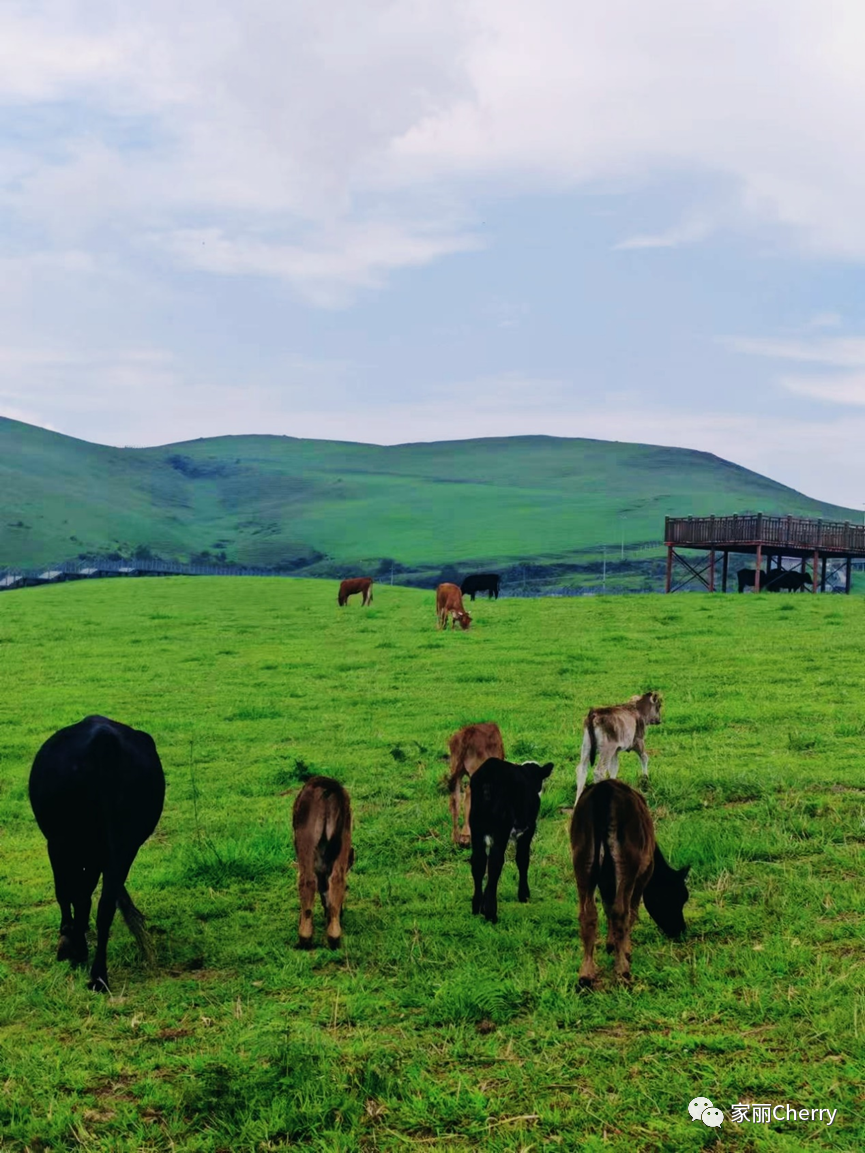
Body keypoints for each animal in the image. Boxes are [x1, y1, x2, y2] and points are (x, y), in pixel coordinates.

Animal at [29, 710, 166, 991]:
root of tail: (104, 744)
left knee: (75, 894)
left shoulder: (58, 846)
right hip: (125, 846)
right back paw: (98, 974)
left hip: (63, 842)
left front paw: (68, 940)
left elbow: (66, 893)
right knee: (105, 906)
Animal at [292, 774, 352, 945]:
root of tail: (329, 787)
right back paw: (334, 934)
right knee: (337, 878)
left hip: (305, 835)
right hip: (344, 833)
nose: (342, 913)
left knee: (307, 880)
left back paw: (305, 936)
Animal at [447, 719, 507, 848]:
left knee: (455, 797)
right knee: (468, 793)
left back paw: (455, 838)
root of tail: (468, 732)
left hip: (456, 769)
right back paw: (466, 836)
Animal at [468, 756, 555, 927]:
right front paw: (524, 895)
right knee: (495, 862)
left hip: (475, 825)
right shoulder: (529, 828)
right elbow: (522, 859)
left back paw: (477, 907)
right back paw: (491, 913)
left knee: (478, 862)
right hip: (501, 827)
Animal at [569, 774, 692, 982]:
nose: (679, 930)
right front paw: (625, 949)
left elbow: (607, 905)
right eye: (674, 897)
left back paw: (586, 973)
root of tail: (604, 790)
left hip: (582, 856)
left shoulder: (606, 880)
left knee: (588, 913)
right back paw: (622, 969)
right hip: (628, 859)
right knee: (621, 911)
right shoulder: (644, 873)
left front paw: (611, 944)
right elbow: (631, 909)